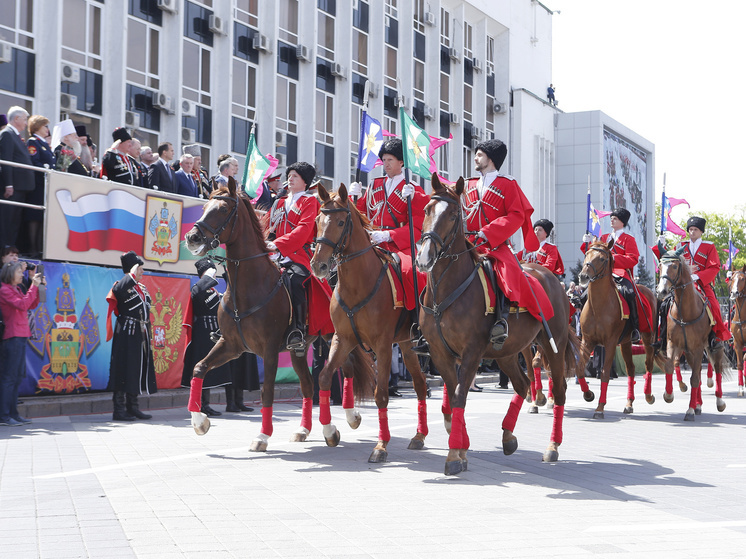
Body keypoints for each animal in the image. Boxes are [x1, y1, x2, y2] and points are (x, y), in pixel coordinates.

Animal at [184, 179, 374, 450]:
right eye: (204, 208)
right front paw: (199, 421)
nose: (192, 237)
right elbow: (199, 368)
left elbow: (267, 392)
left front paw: (262, 436)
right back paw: (304, 429)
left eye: (222, 209)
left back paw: (346, 419)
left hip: (334, 336)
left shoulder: (270, 350)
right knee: (308, 384)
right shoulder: (231, 345)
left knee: (345, 369)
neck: (248, 287)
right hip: (299, 349)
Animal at [308, 184, 434, 464]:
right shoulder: (342, 339)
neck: (358, 284)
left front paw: (381, 446)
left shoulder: (383, 346)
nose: (319, 265)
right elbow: (324, 377)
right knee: (420, 383)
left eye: (341, 222)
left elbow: (381, 394)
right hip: (407, 344)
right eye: (318, 220)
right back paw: (419, 436)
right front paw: (330, 431)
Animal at [412, 177, 576, 474]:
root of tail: (551, 278)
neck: (447, 291)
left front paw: (454, 455)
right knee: (522, 383)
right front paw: (461, 448)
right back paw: (508, 436)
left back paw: (552, 446)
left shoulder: (472, 352)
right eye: (427, 210)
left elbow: (459, 396)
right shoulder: (440, 354)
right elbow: (453, 397)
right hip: (507, 352)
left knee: (559, 391)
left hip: (552, 345)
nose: (424, 258)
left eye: (452, 215)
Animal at [656, 250, 728, 420]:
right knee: (699, 374)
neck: (685, 312)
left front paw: (689, 410)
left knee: (717, 369)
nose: (661, 291)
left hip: (715, 348)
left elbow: (694, 379)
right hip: (689, 352)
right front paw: (669, 395)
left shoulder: (697, 347)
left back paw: (719, 402)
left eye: (675, 266)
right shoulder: (673, 344)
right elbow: (670, 366)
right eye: (660, 266)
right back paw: (698, 405)